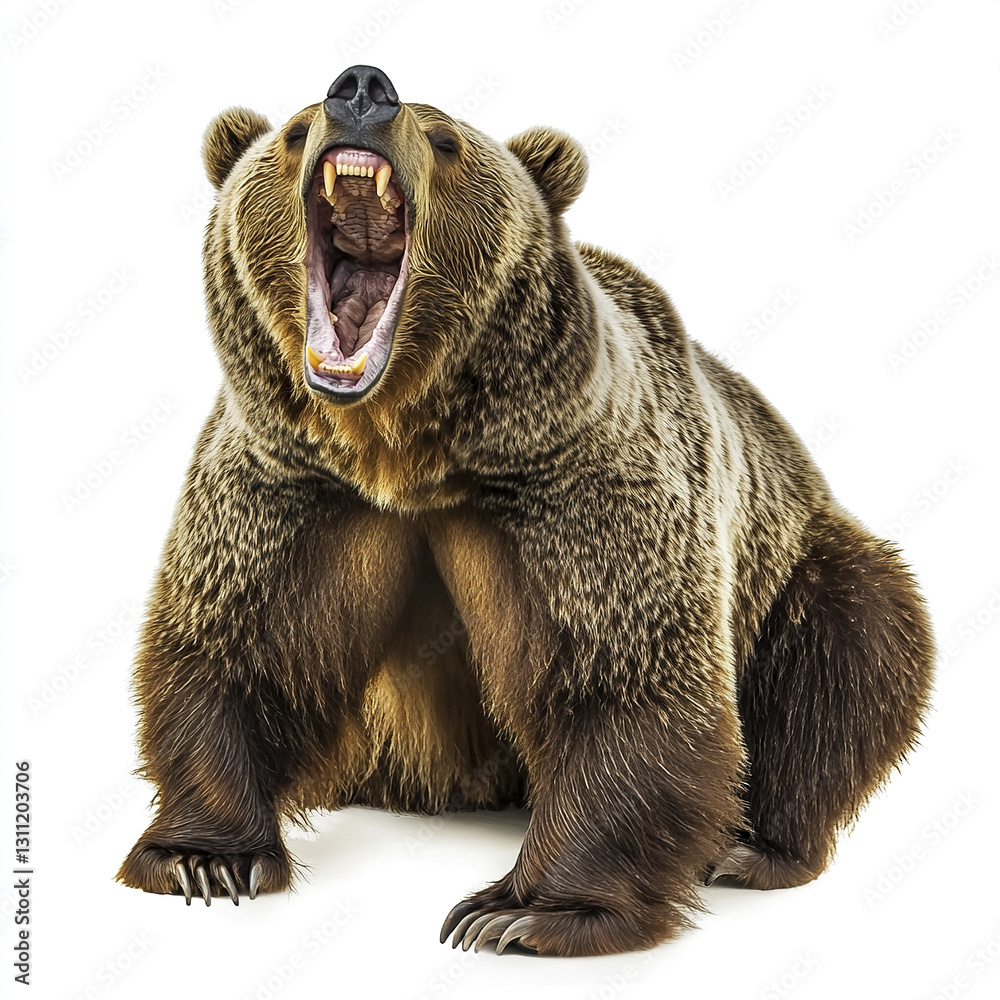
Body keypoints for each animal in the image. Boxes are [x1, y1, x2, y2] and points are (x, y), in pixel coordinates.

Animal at [117, 65, 935, 957]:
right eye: (293, 132)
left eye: (446, 140)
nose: (361, 90)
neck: (402, 450)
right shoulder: (295, 492)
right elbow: (235, 646)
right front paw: (203, 859)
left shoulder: (573, 489)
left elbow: (624, 682)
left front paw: (518, 912)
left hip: (798, 558)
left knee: (845, 657)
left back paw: (753, 847)